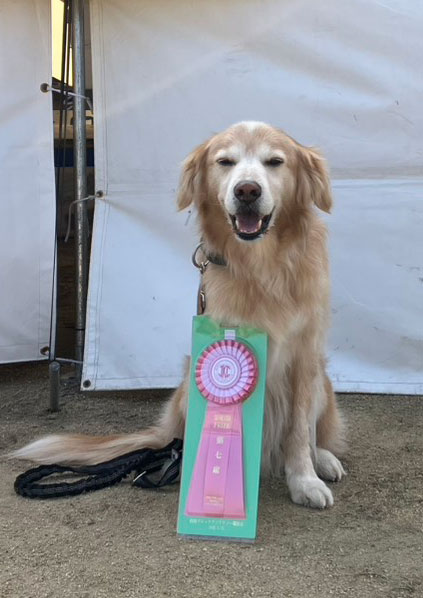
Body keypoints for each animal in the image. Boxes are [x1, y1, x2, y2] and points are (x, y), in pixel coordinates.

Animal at [14, 121, 346, 508]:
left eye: (275, 162)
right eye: (225, 161)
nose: (247, 190)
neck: (261, 268)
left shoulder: (305, 356)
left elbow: (299, 430)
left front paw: (304, 480)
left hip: (322, 383)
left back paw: (323, 458)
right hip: (190, 385)